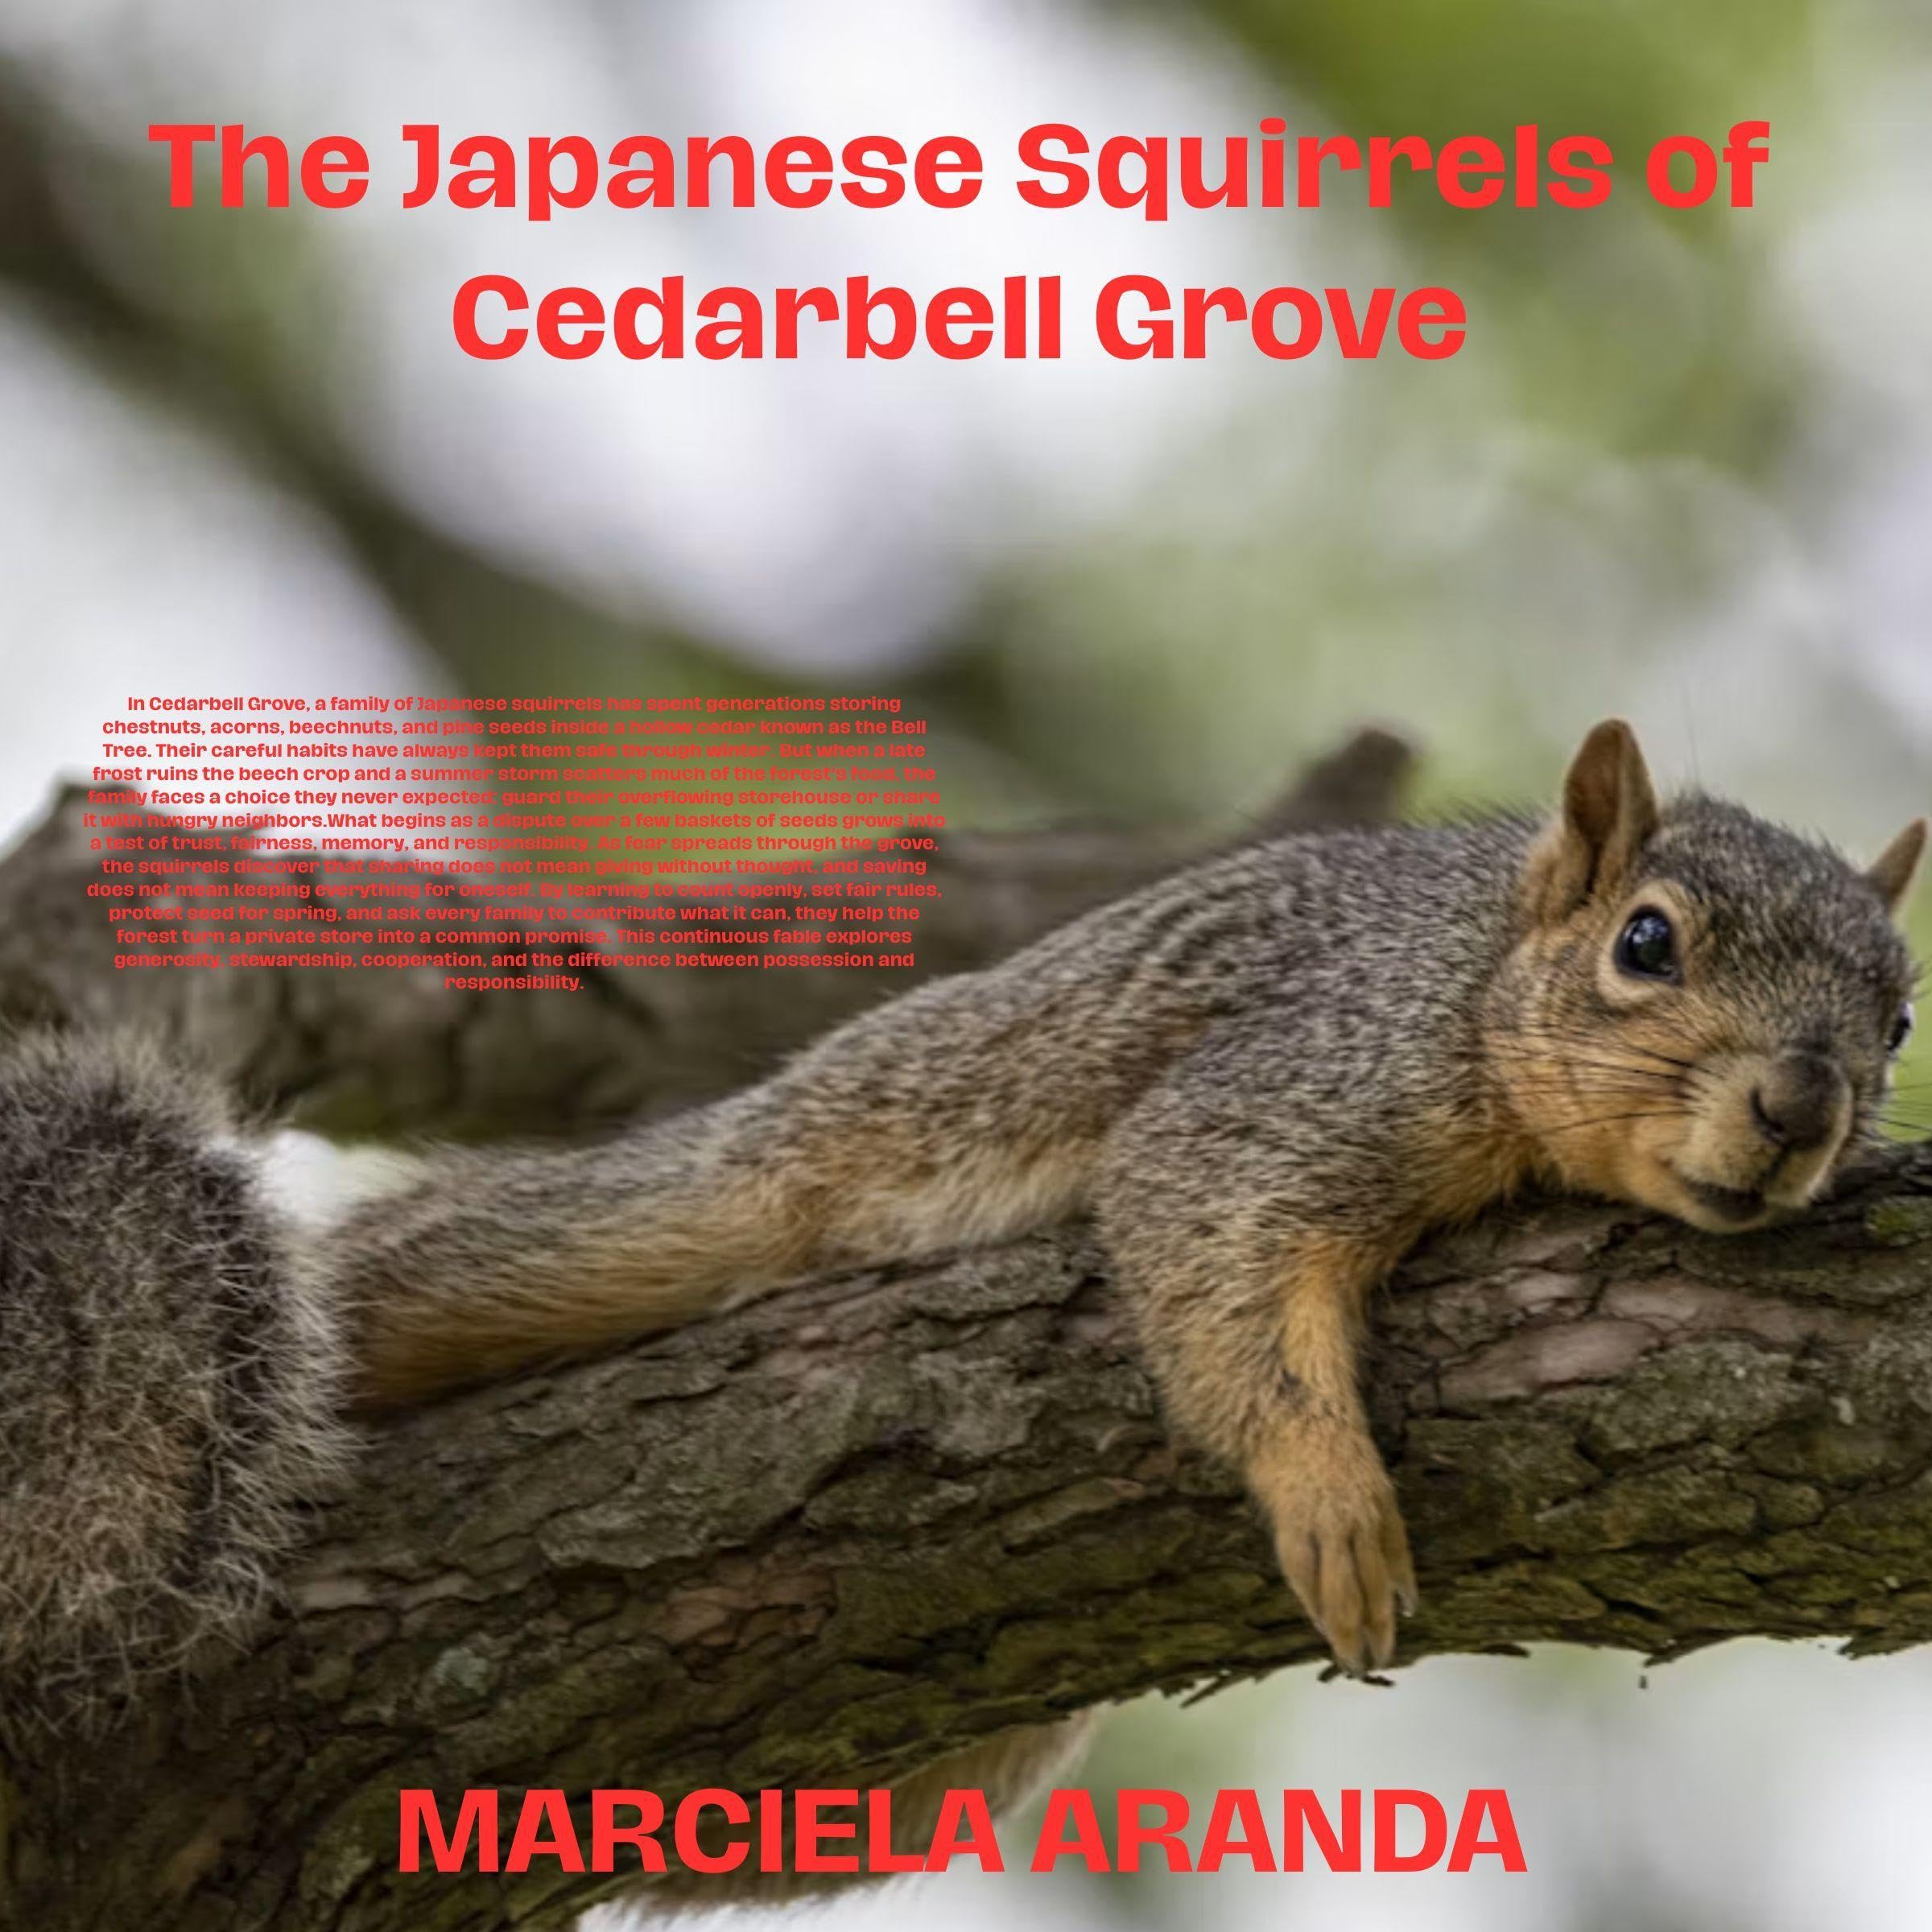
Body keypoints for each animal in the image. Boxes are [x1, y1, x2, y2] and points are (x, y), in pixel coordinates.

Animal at [2, 721, 1924, 1750]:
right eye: (1648, 944)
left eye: (1900, 1016)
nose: (1800, 1109)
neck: (1474, 975)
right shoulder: (1299, 1076)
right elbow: (1205, 1224)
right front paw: (1329, 1499)